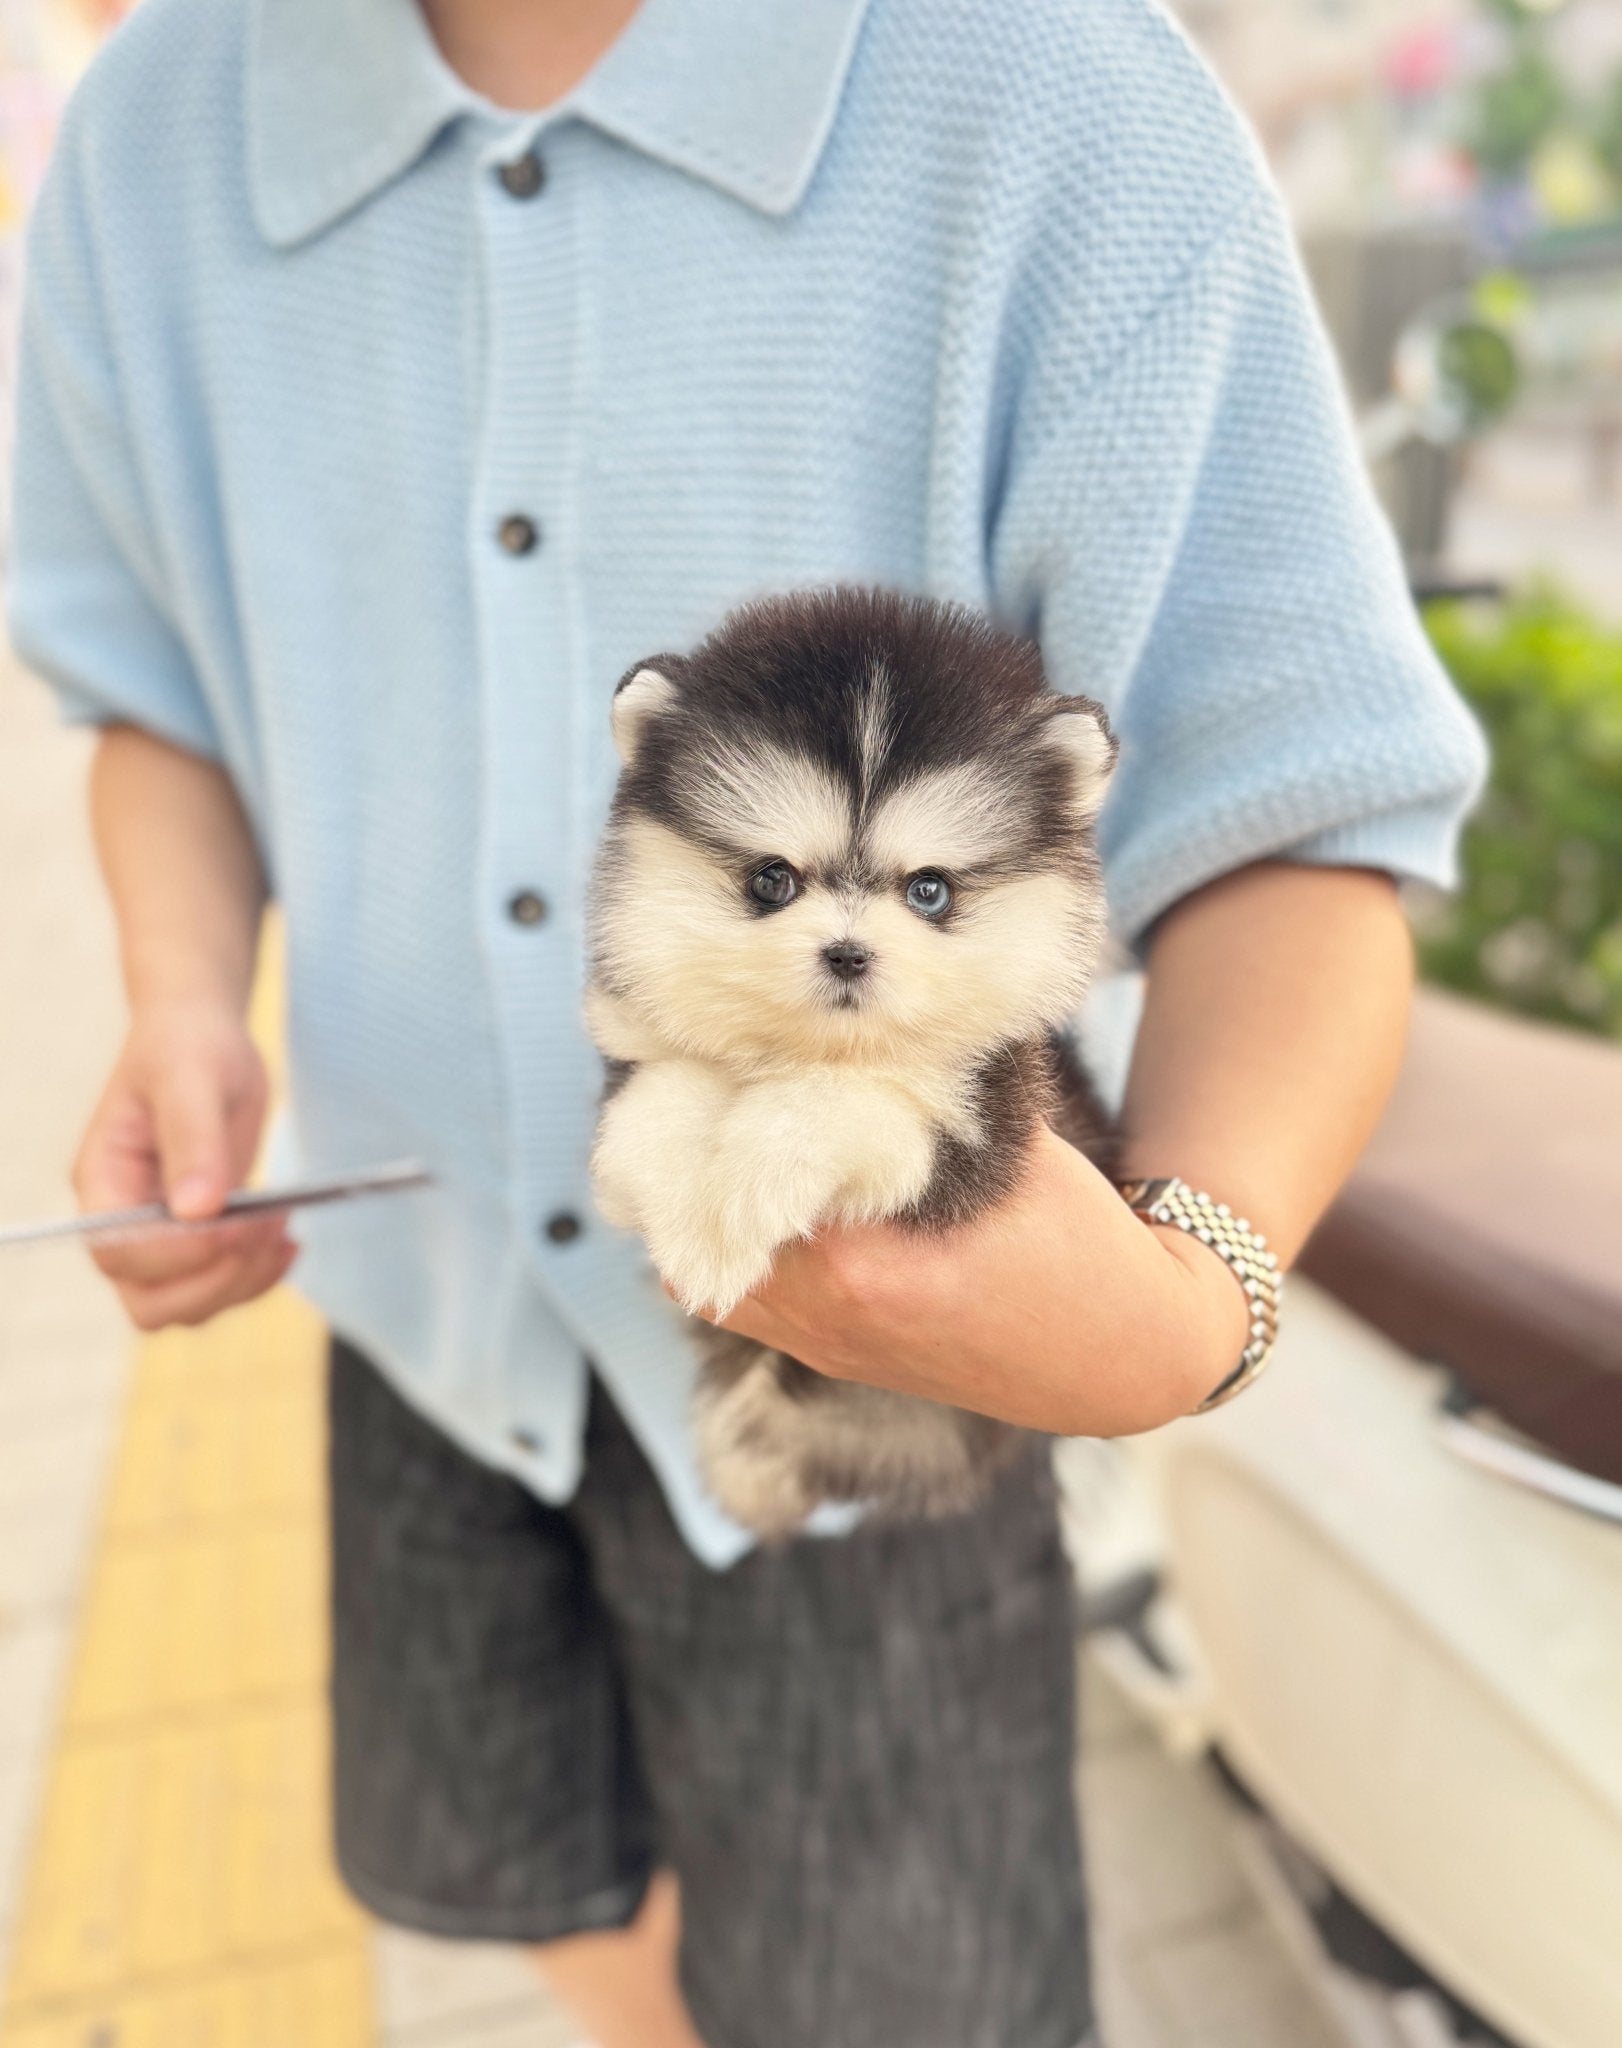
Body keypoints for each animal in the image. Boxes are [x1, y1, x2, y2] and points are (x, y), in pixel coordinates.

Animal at [589, 585, 1122, 1531]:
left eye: (930, 890)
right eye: (771, 880)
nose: (846, 954)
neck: (812, 1046)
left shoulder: (991, 1122)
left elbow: (837, 1105)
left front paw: (735, 1205)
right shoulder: (637, 1046)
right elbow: (664, 1096)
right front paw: (682, 1213)